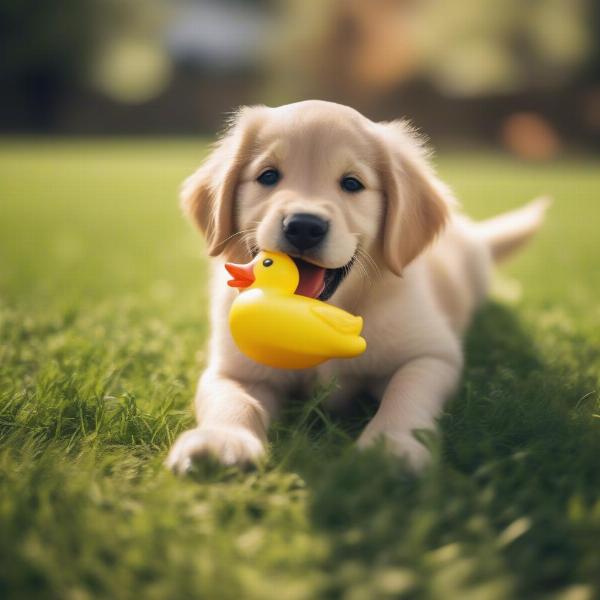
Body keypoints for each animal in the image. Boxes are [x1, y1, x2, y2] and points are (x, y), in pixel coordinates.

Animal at [165, 99, 548, 474]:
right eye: (268, 176)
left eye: (351, 184)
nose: (303, 226)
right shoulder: (233, 368)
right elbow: (233, 400)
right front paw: (220, 439)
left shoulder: (432, 355)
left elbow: (406, 393)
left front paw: (390, 446)